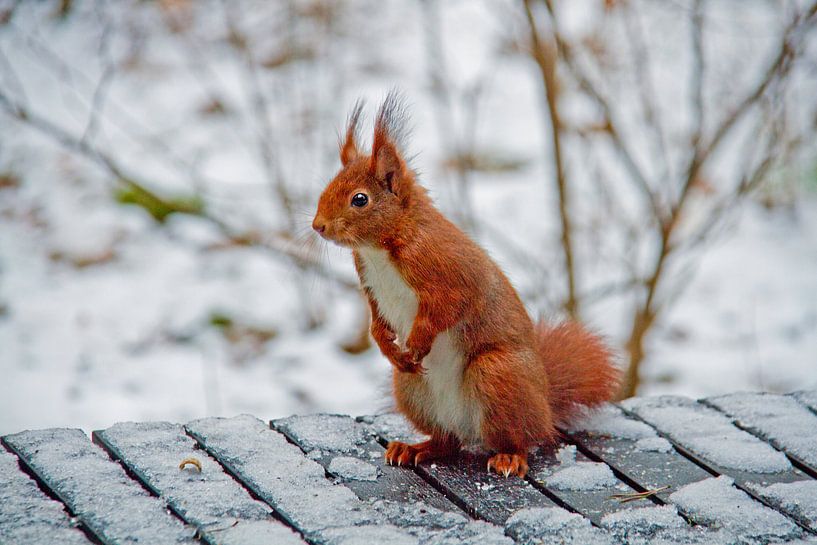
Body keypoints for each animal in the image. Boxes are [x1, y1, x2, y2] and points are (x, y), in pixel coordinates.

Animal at [312, 93, 620, 476]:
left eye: (359, 199)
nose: (318, 226)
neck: (382, 247)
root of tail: (546, 406)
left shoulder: (448, 272)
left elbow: (446, 308)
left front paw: (416, 344)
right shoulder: (370, 285)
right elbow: (376, 321)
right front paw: (389, 347)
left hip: (498, 374)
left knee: (521, 437)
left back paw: (510, 456)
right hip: (411, 388)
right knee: (448, 441)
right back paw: (415, 447)